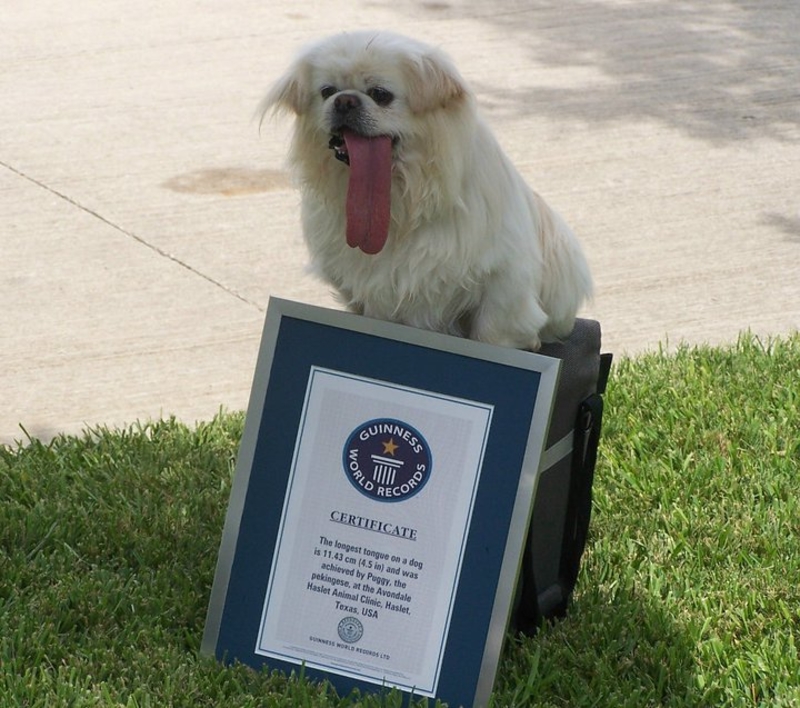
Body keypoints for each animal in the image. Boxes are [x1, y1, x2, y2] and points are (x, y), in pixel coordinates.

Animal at [260, 31, 592, 352]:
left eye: (381, 95)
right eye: (327, 92)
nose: (345, 101)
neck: (402, 199)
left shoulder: (503, 284)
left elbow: (492, 333)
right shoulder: (376, 289)